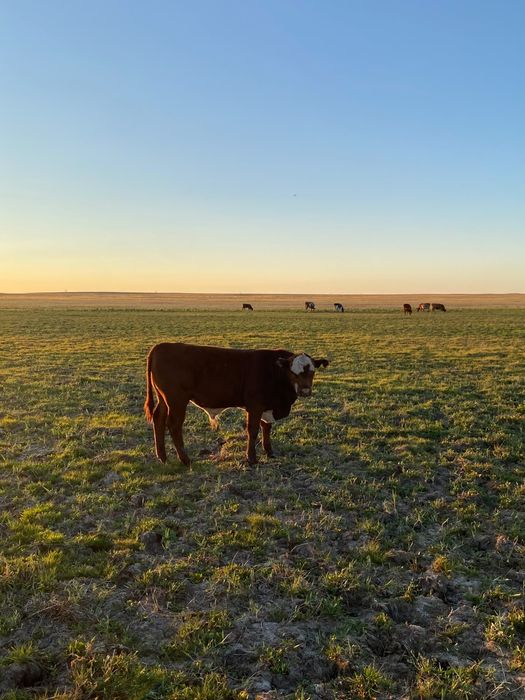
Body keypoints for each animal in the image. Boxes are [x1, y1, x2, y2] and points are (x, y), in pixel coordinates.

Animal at [144, 343, 329, 466]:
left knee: (158, 419)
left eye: (312, 372)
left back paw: (163, 457)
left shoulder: (266, 406)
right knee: (174, 425)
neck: (274, 371)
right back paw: (185, 460)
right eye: (293, 372)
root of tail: (161, 346)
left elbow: (266, 428)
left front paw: (269, 452)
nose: (305, 391)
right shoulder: (255, 406)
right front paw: (251, 458)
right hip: (176, 400)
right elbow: (253, 431)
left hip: (163, 399)